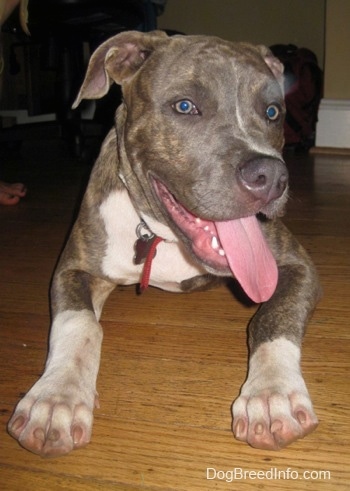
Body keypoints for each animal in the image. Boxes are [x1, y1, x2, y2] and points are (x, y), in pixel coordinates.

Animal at [8, 30, 322, 458]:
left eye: (273, 112)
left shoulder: (296, 264)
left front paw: (272, 395)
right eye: (185, 106)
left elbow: (273, 317)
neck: (163, 233)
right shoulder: (74, 268)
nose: (272, 177)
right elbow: (79, 324)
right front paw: (56, 398)